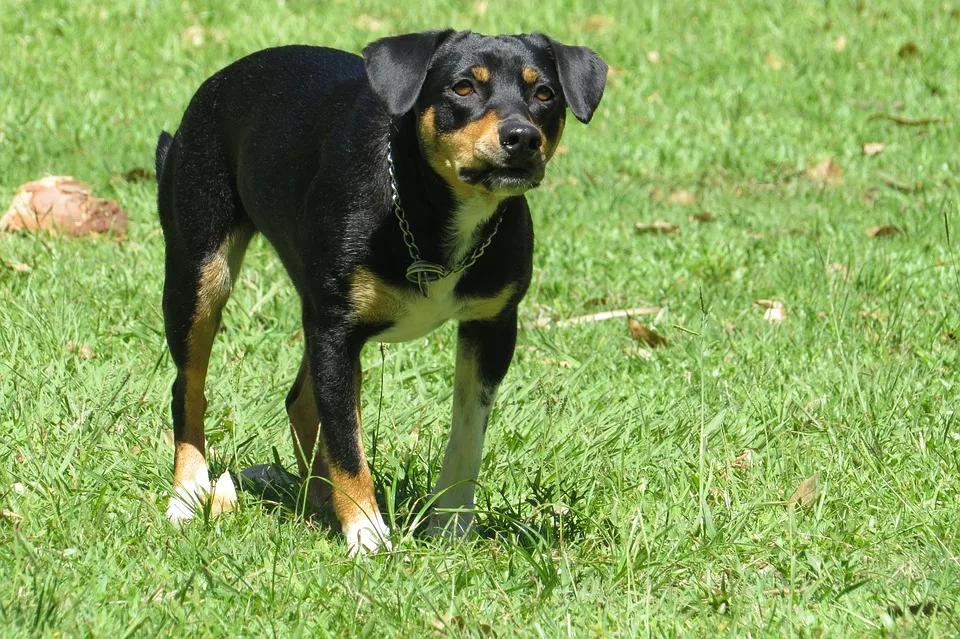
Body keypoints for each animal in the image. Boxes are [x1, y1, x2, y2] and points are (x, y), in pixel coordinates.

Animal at [158, 28, 608, 556]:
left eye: (544, 94)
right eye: (462, 88)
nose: (522, 137)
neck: (429, 212)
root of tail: (217, 83)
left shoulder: (492, 327)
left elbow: (466, 438)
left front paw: (451, 528)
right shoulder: (337, 331)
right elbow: (348, 442)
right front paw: (367, 534)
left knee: (301, 402)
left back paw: (318, 499)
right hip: (199, 272)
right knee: (189, 389)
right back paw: (188, 494)